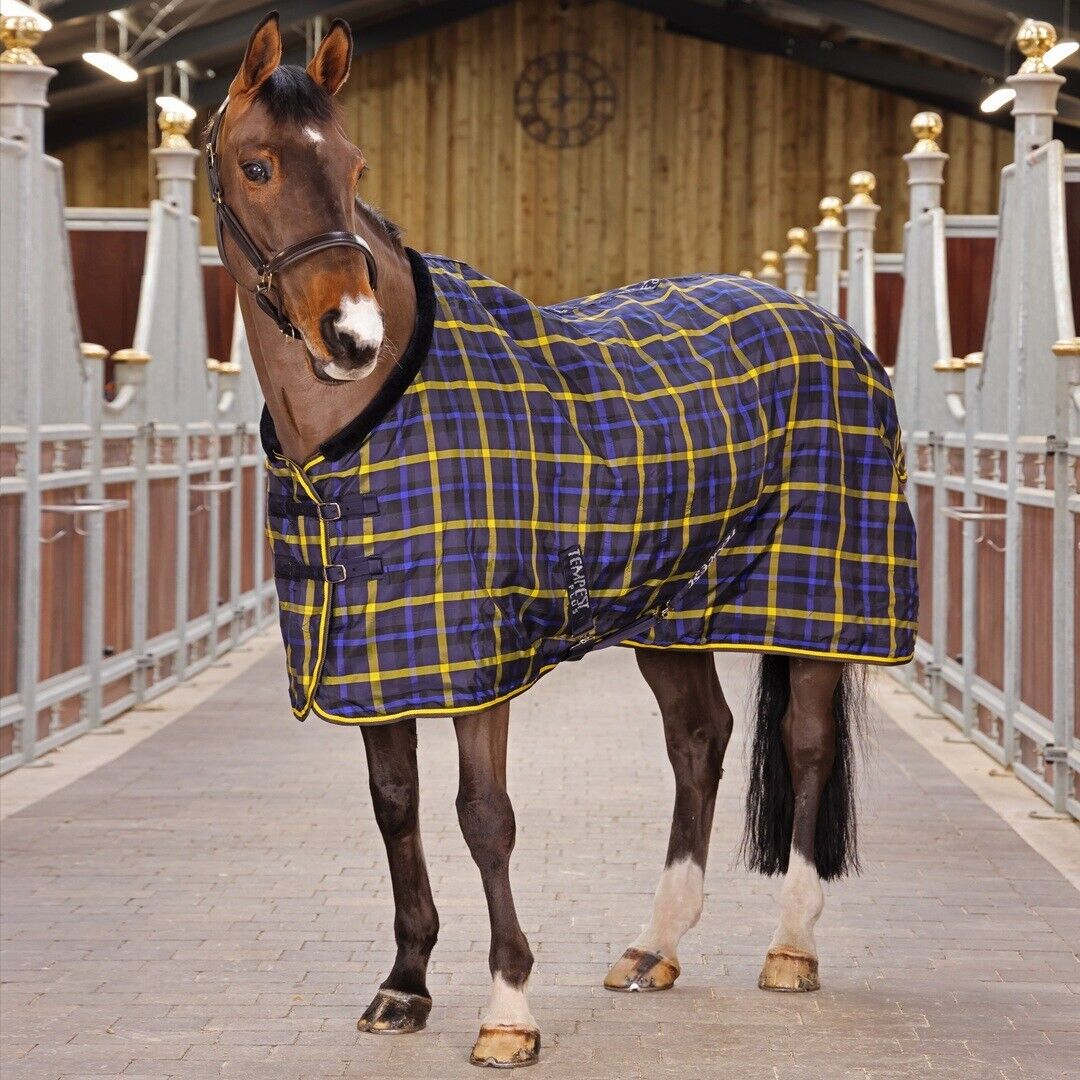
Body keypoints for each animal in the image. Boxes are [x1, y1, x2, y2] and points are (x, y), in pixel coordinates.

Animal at [206, 12, 917, 1068]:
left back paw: (791, 949)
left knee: (807, 744)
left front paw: (508, 1010)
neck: (368, 426)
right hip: (675, 615)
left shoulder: (476, 664)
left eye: (353, 162)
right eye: (257, 166)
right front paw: (405, 984)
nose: (351, 335)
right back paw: (654, 946)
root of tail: (831, 326)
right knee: (700, 740)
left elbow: (484, 818)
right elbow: (396, 806)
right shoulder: (377, 654)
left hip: (821, 604)